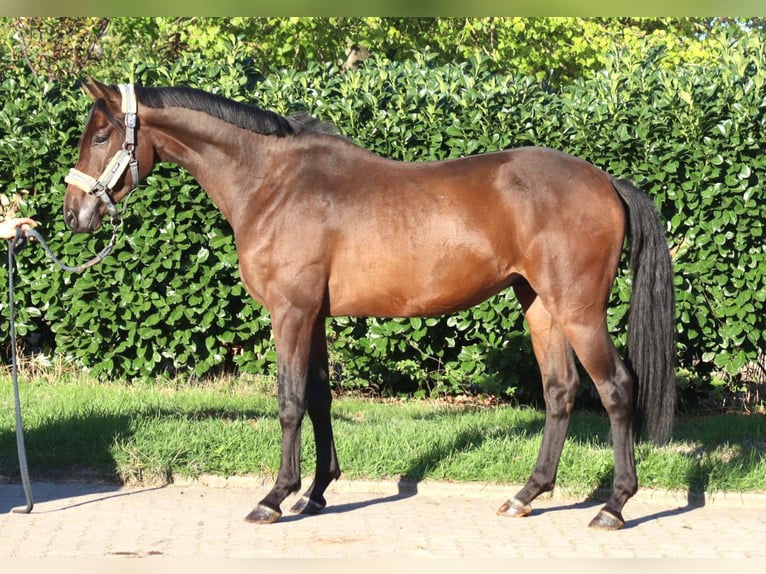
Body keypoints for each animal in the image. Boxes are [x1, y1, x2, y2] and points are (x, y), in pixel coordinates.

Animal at [63, 79, 676, 530]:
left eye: (101, 135)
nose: (72, 213)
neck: (272, 182)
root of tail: (606, 182)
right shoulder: (312, 316)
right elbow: (319, 398)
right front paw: (314, 493)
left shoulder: (290, 313)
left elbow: (289, 402)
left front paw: (274, 497)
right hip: (541, 306)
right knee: (560, 391)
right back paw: (526, 495)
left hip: (578, 310)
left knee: (615, 388)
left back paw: (613, 506)